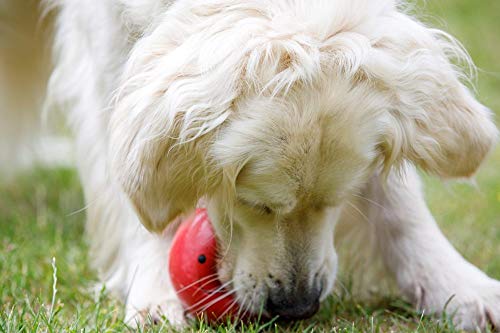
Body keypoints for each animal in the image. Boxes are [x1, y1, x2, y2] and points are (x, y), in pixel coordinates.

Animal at [1, 0, 498, 330]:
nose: (297, 307)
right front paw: (156, 285)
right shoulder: (103, 31)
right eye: (254, 203)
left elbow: (397, 200)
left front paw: (455, 283)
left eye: (335, 201)